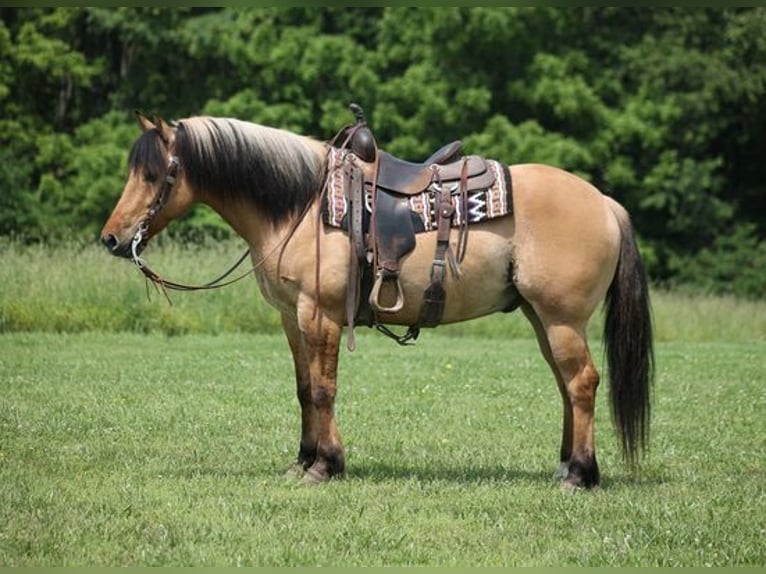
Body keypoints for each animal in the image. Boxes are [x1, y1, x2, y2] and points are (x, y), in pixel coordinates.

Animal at [100, 109, 656, 490]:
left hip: (562, 319)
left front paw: (326, 465)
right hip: (542, 319)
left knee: (582, 383)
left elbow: (324, 390)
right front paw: (303, 460)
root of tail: (604, 203)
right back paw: (566, 465)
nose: (111, 238)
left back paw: (580, 474)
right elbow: (304, 389)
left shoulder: (319, 313)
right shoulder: (290, 318)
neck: (301, 206)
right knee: (566, 386)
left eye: (153, 175)